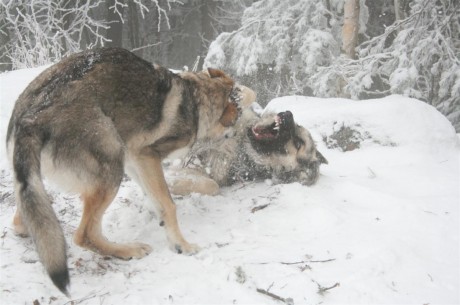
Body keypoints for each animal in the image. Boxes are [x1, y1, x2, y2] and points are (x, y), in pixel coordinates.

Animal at [5, 48, 252, 294]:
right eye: (238, 118)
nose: (239, 133)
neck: (196, 100)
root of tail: (32, 117)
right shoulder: (146, 155)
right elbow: (169, 204)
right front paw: (181, 244)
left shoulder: (136, 161)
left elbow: (157, 198)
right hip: (112, 165)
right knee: (84, 235)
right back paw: (128, 250)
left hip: (40, 181)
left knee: (24, 221)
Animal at [168, 104, 328, 195]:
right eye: (298, 125)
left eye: (298, 143)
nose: (288, 113)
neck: (240, 147)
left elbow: (212, 185)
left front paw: (172, 184)